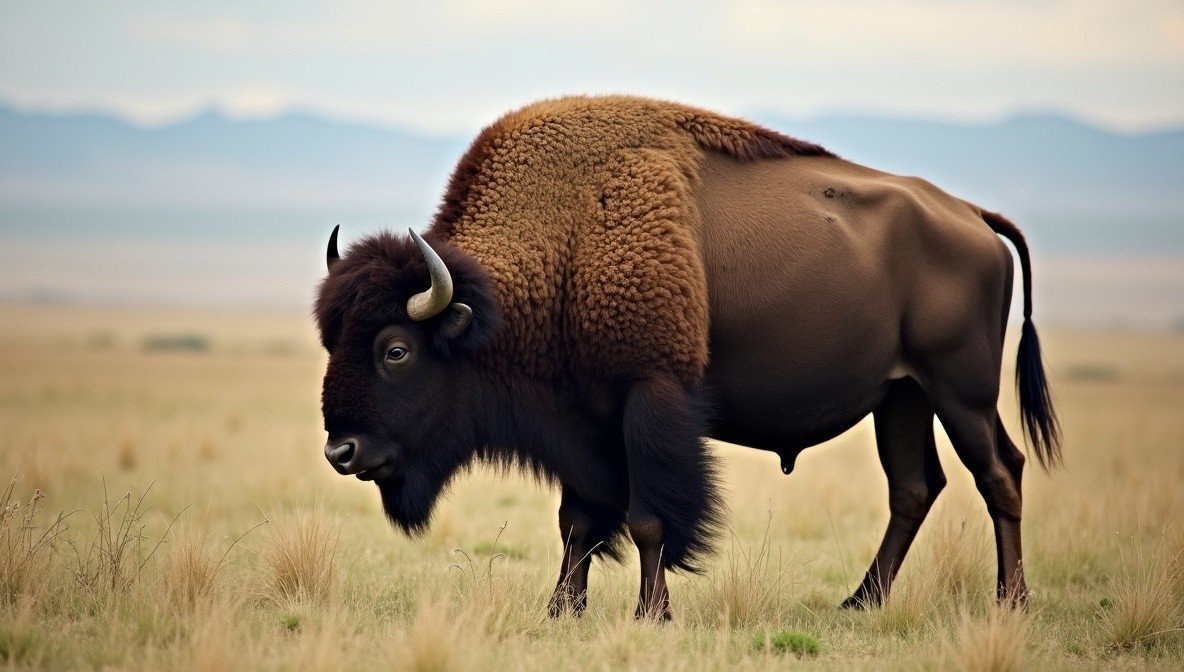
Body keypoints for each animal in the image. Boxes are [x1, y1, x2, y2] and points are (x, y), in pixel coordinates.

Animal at [315, 96, 1059, 619]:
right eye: (331, 340)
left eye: (395, 350)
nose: (340, 452)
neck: (563, 244)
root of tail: (971, 216)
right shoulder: (581, 424)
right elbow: (577, 523)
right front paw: (562, 611)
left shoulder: (649, 399)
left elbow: (649, 519)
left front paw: (652, 614)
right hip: (900, 397)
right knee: (914, 487)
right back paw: (861, 601)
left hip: (959, 392)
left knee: (1000, 474)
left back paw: (1010, 602)